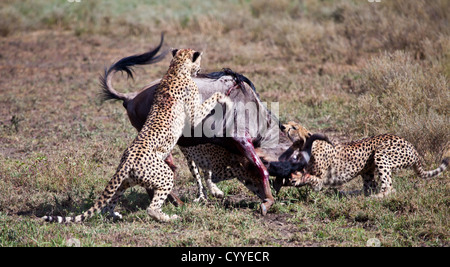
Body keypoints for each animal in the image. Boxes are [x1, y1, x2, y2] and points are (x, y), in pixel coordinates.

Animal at [42, 48, 234, 224]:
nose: (200, 71)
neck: (175, 69)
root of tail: (127, 159)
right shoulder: (193, 116)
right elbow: (212, 100)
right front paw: (225, 98)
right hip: (164, 175)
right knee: (152, 207)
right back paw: (169, 217)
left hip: (126, 182)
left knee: (110, 202)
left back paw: (115, 215)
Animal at [284, 122, 450, 198]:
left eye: (293, 127)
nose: (283, 126)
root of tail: (412, 146)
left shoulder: (320, 180)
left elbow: (314, 180)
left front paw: (300, 178)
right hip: (368, 171)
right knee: (372, 186)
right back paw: (356, 193)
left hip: (382, 154)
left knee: (389, 188)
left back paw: (373, 197)